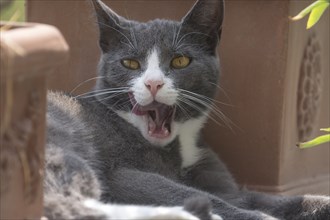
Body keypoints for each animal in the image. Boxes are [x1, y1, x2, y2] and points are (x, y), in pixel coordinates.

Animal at [44, 0, 330, 219]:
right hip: (64, 150)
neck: (180, 147)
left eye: (180, 61)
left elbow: (271, 199)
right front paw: (258, 217)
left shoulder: (226, 186)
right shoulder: (119, 173)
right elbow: (188, 193)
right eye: (131, 63)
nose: (153, 83)